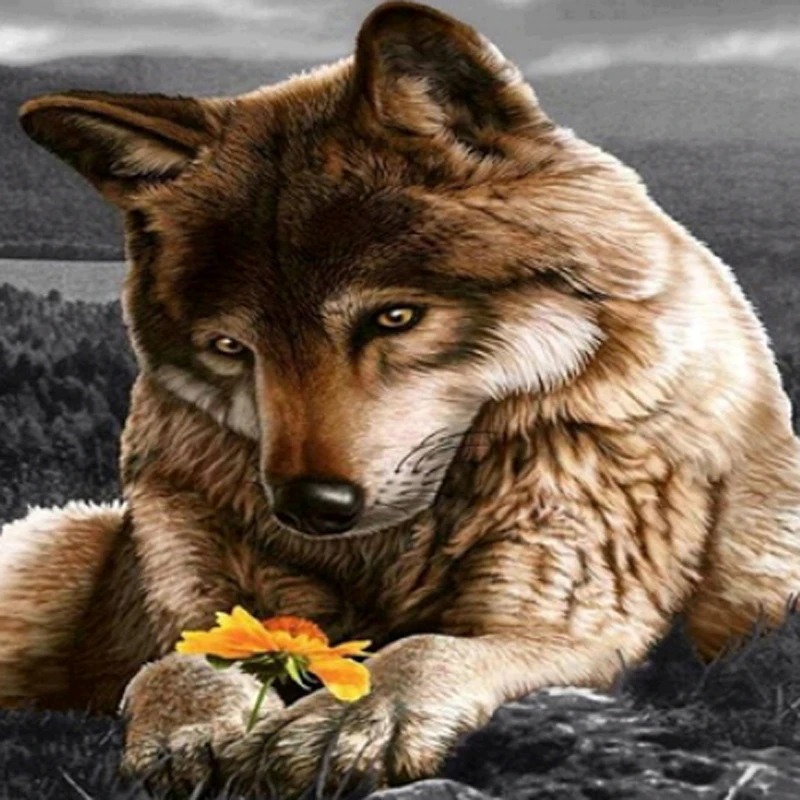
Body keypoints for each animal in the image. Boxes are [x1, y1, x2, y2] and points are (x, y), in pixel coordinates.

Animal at [5, 0, 800, 796]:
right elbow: (179, 660)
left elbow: (423, 649)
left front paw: (353, 720)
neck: (383, 558)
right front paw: (191, 726)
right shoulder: (194, 587)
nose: (308, 507)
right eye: (231, 348)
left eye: (394, 317)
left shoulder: (568, 622)